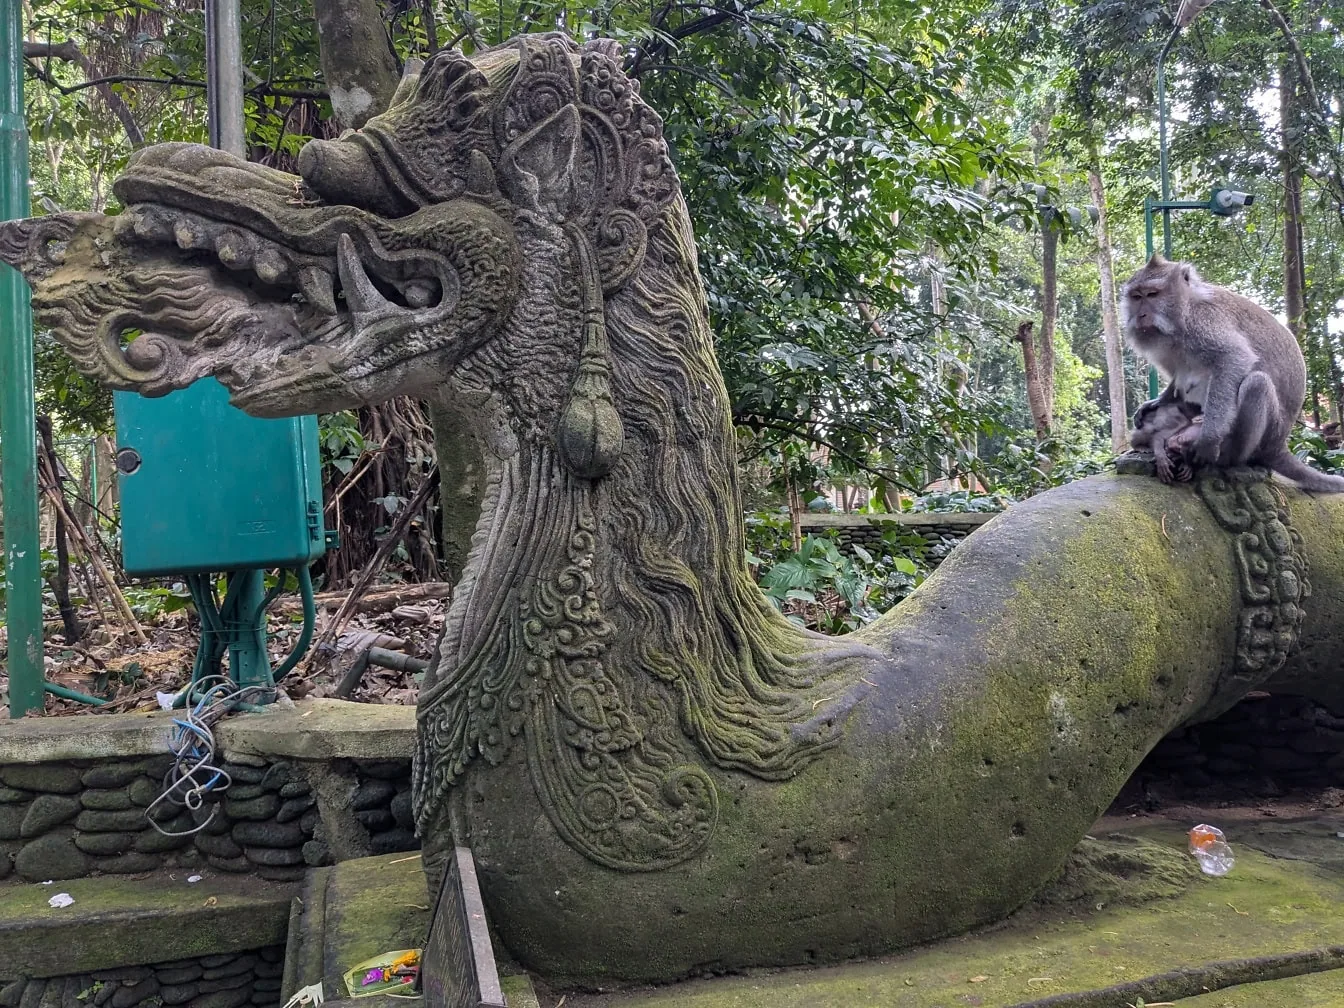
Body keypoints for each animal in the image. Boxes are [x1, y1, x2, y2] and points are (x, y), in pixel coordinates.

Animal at [1122, 254, 1344, 493]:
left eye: (1153, 294)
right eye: (1137, 297)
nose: (1141, 315)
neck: (1184, 309)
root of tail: (1279, 445)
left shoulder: (1203, 323)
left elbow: (1233, 358)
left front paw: (1208, 440)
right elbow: (1178, 378)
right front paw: (1155, 402)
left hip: (1266, 435)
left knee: (1257, 383)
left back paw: (1227, 458)